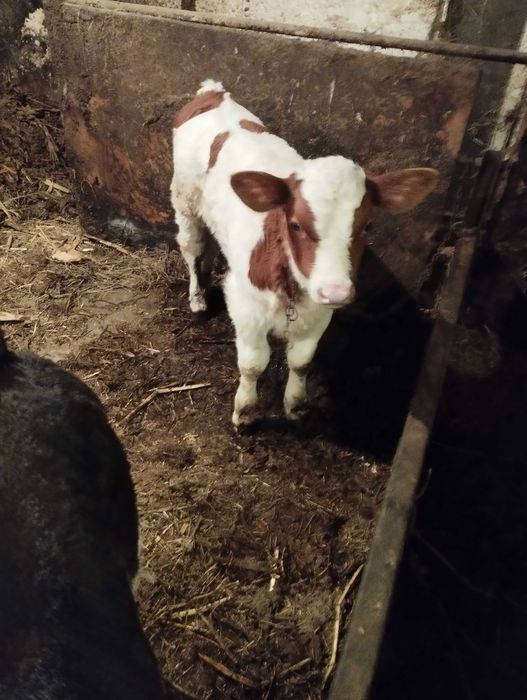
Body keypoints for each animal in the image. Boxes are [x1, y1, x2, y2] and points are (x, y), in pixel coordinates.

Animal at [171, 79, 439, 427]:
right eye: (295, 225)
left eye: (367, 226)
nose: (336, 290)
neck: (291, 285)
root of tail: (212, 93)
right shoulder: (246, 307)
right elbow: (253, 364)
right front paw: (245, 411)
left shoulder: (318, 309)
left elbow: (301, 361)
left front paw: (295, 405)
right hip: (184, 199)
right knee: (192, 249)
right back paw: (198, 299)